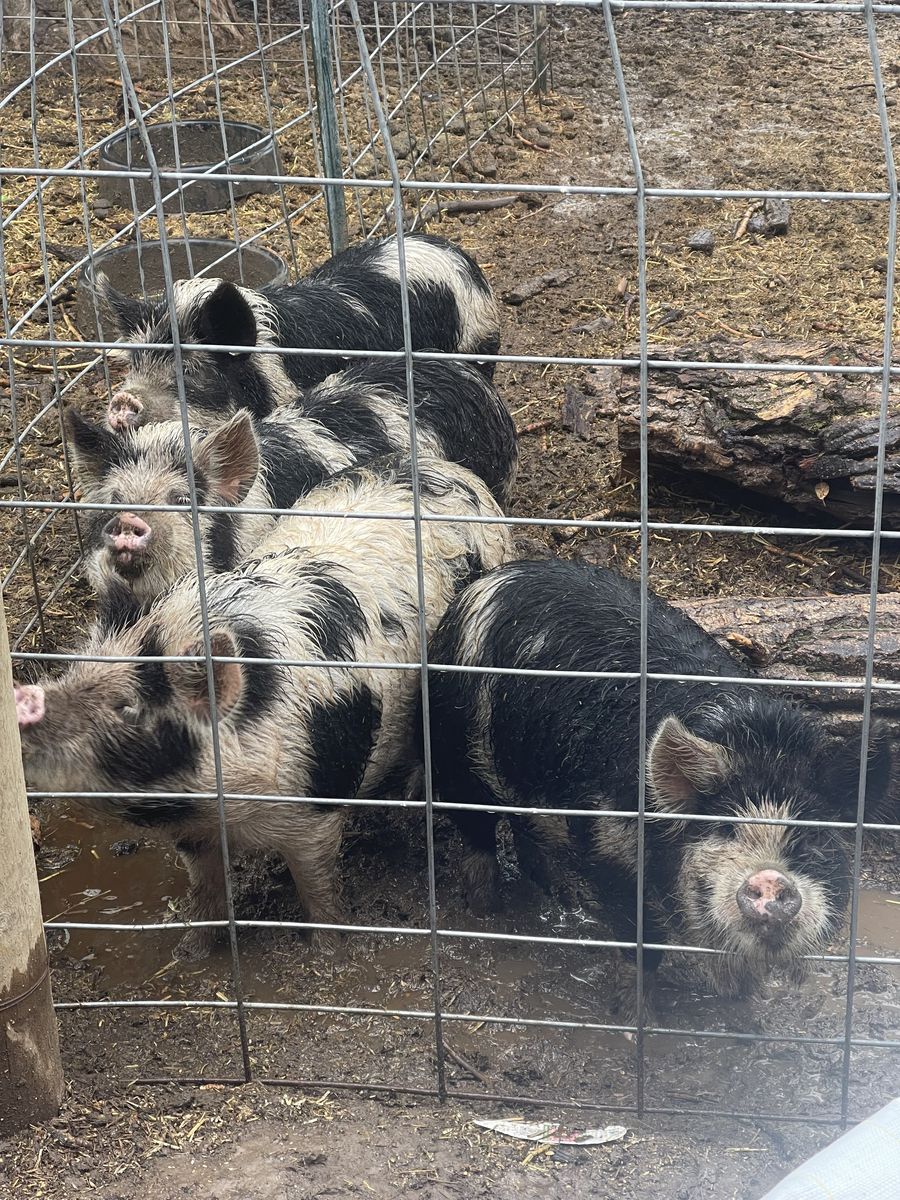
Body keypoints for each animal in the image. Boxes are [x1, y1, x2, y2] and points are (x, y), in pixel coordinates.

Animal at [16, 454, 514, 959]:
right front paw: (191, 951)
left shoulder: (312, 808)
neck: (222, 807)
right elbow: (206, 888)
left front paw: (326, 950)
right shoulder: (192, 833)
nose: (26, 701)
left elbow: (317, 886)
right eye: (71, 674)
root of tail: (448, 469)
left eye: (129, 708)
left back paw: (410, 797)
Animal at [425, 558, 892, 1011]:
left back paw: (565, 897)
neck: (759, 744)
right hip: (453, 746)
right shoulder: (610, 844)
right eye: (726, 829)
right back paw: (485, 908)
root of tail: (492, 577)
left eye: (814, 837)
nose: (772, 880)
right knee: (477, 826)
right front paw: (635, 1013)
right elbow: (642, 940)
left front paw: (742, 998)